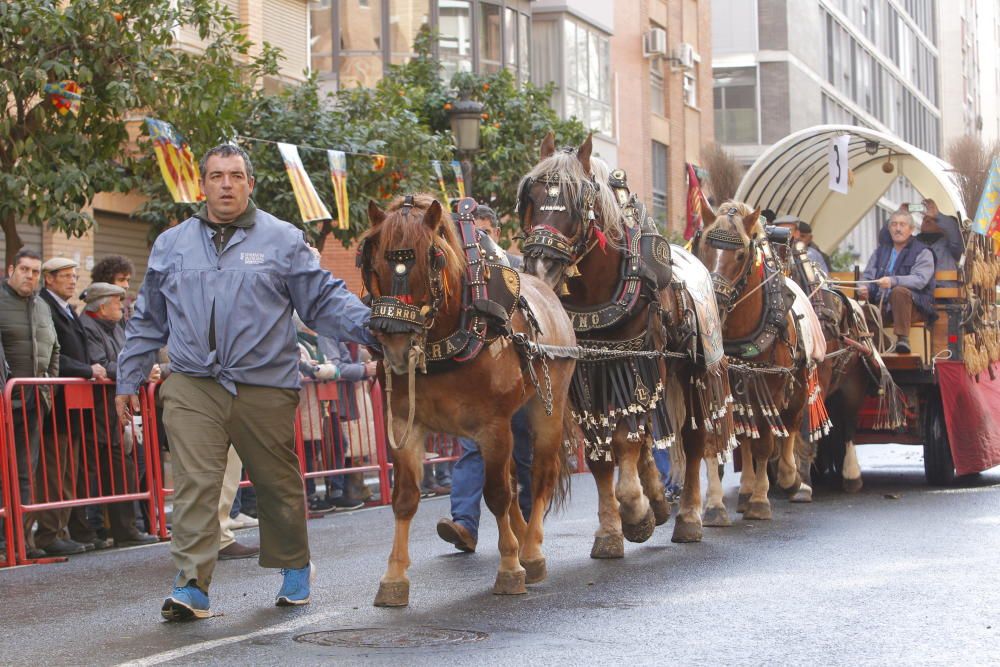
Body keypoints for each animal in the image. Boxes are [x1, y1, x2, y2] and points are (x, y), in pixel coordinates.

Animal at [362, 196, 580, 608]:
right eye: (375, 261)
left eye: (431, 259)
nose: (395, 344)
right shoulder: (405, 424)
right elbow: (406, 498)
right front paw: (393, 578)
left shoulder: (492, 426)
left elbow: (496, 494)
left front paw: (510, 568)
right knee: (512, 480)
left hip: (547, 407)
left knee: (538, 476)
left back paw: (531, 551)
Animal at [520, 133, 732, 556]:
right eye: (531, 197)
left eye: (576, 202)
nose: (538, 268)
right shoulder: (588, 374)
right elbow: (601, 452)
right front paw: (612, 529)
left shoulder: (638, 361)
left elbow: (625, 440)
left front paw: (634, 510)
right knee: (647, 432)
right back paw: (658, 499)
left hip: (689, 370)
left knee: (693, 441)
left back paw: (687, 517)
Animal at [696, 202, 812, 520]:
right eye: (703, 248)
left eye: (740, 254)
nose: (714, 303)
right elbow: (714, 442)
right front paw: (714, 505)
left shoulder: (769, 386)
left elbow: (765, 444)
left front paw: (761, 501)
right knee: (745, 436)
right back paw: (747, 489)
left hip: (797, 386)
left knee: (790, 425)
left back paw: (790, 479)